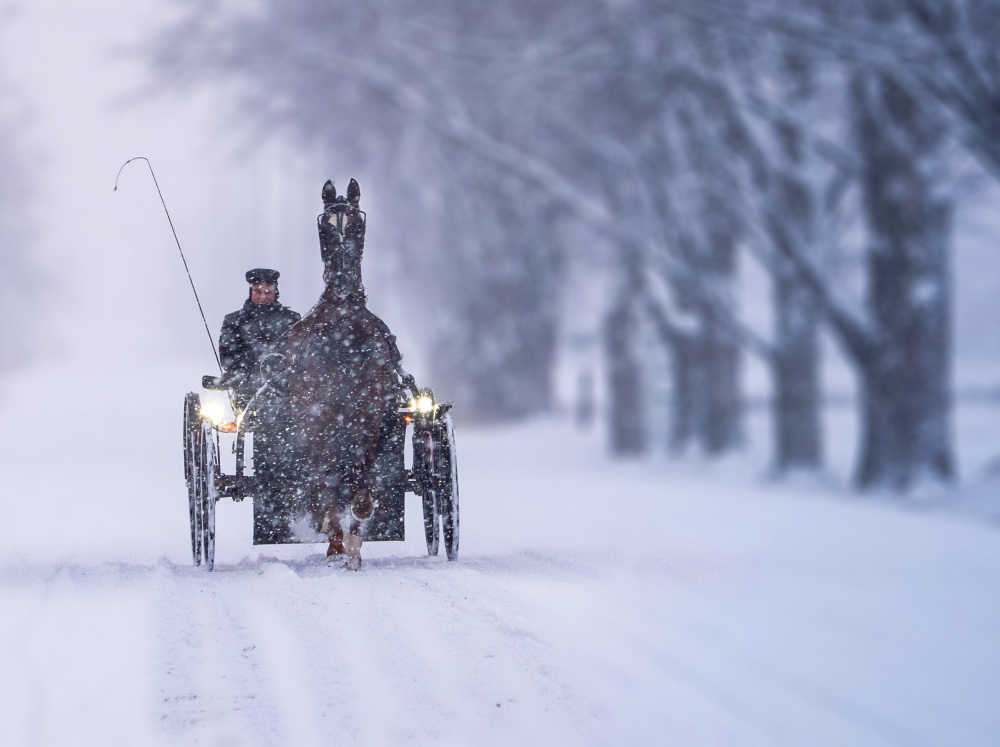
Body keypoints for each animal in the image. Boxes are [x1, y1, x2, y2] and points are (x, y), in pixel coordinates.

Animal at [282, 178, 402, 568]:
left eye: (357, 225)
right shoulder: (318, 417)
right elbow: (327, 481)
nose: (344, 282)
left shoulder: (369, 416)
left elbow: (362, 481)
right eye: (324, 228)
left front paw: (354, 541)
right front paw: (336, 543)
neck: (344, 330)